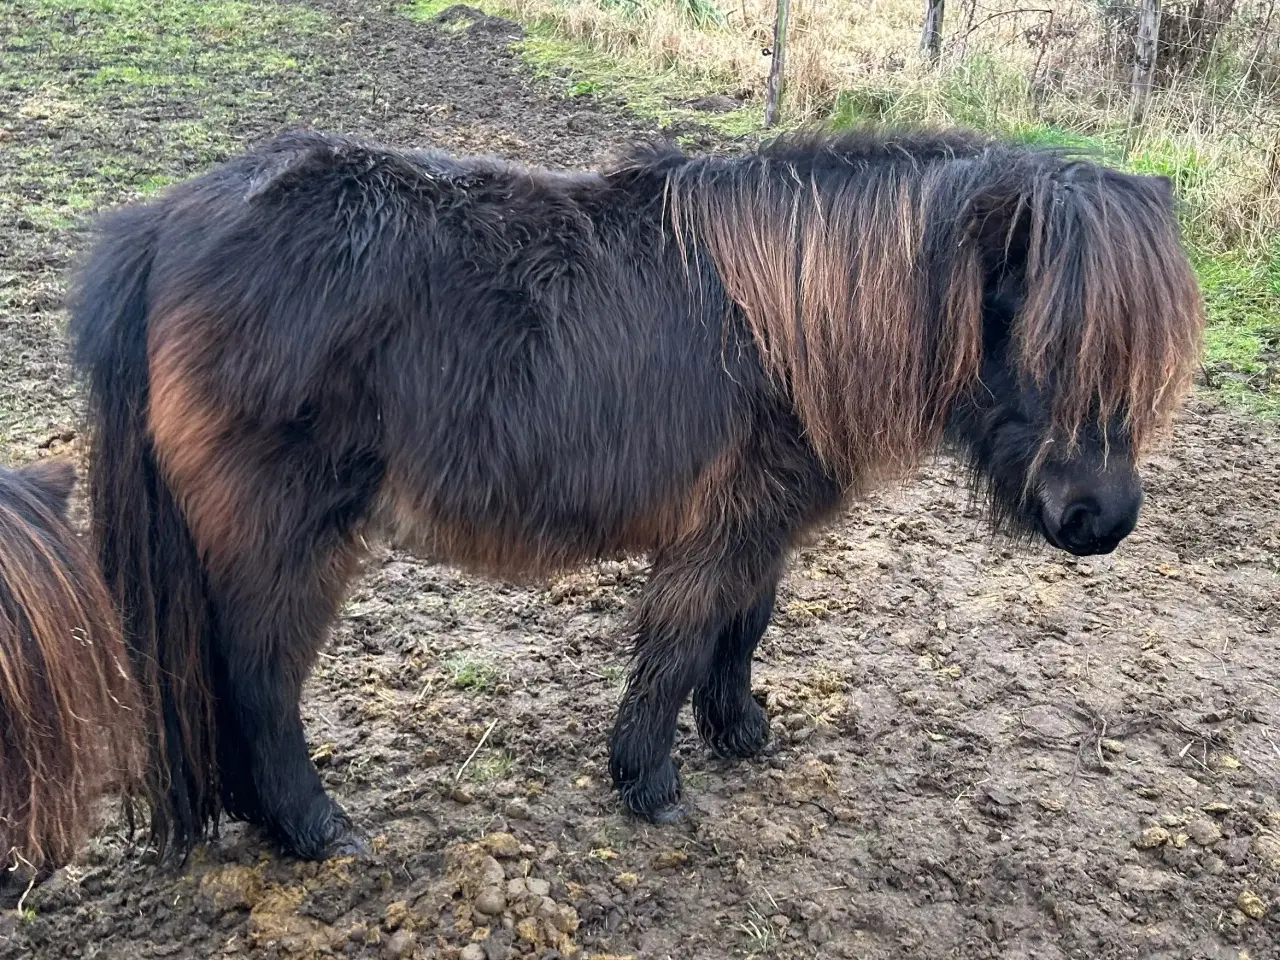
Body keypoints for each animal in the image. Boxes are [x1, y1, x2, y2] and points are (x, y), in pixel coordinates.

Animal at [60, 128, 1198, 865]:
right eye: (1048, 343)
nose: (1103, 521)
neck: (791, 319)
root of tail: (163, 224)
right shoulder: (719, 531)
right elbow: (682, 640)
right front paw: (649, 783)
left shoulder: (760, 526)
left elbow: (745, 626)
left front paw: (739, 731)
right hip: (285, 542)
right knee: (257, 681)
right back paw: (313, 830)